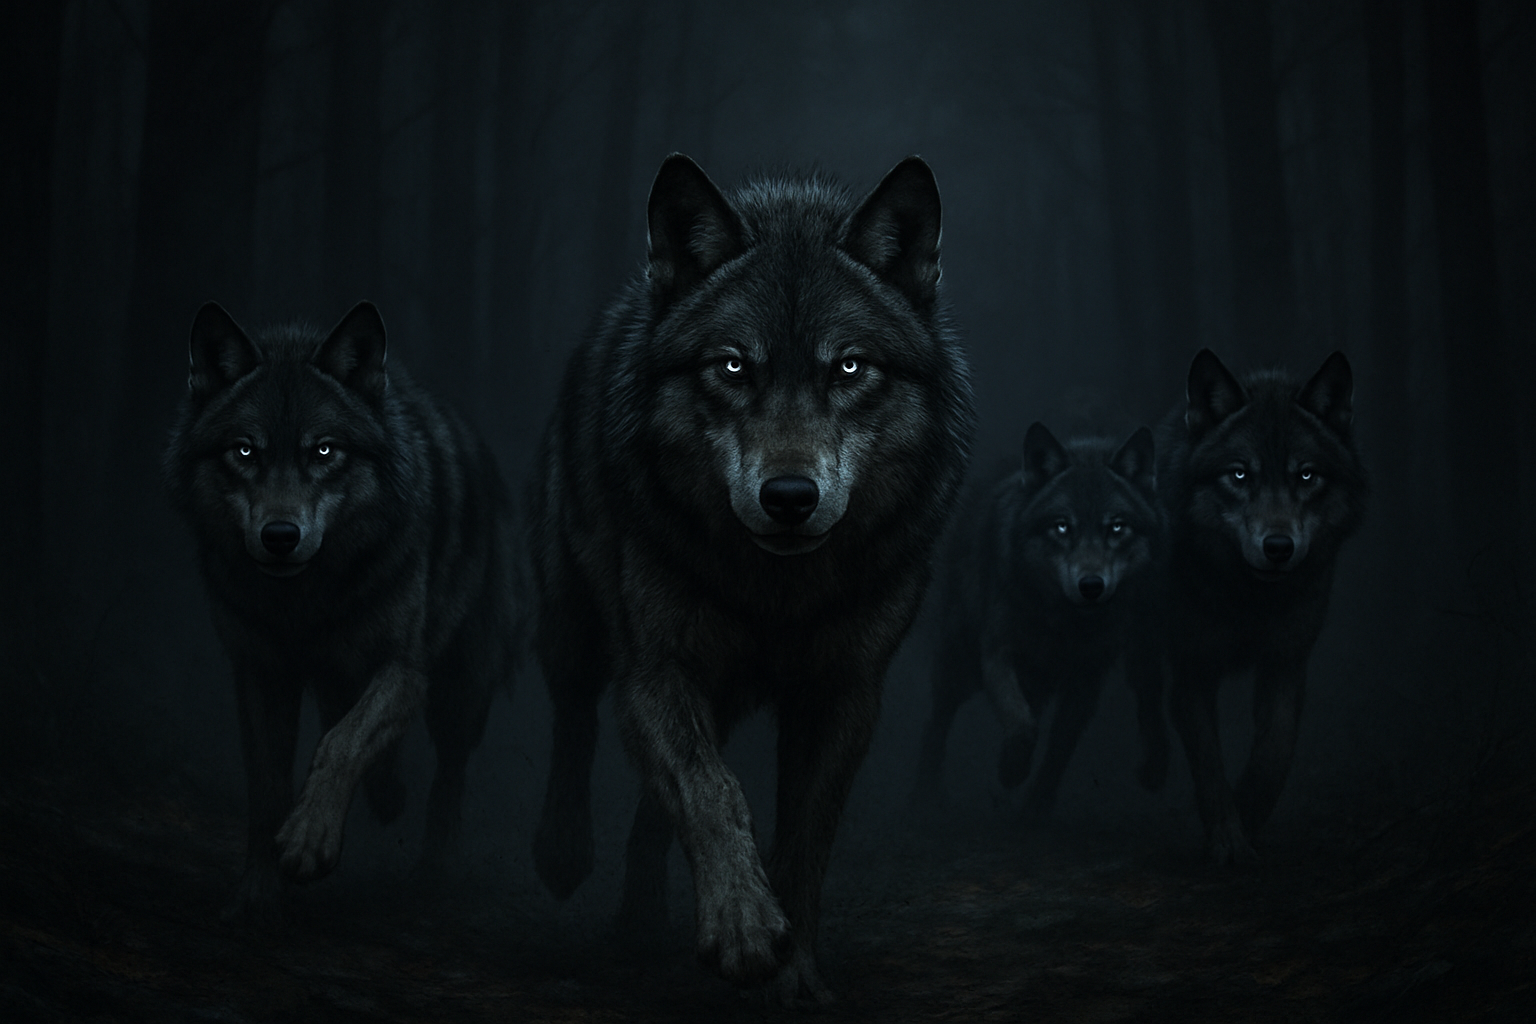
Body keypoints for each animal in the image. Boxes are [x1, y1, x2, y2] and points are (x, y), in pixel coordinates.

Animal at [164, 301, 523, 925]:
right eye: (245, 450)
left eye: (324, 450)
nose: (280, 536)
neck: (306, 602)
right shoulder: (260, 674)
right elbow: (268, 784)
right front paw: (256, 894)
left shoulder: (403, 670)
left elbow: (343, 743)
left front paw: (309, 840)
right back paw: (387, 795)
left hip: (460, 691)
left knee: (447, 777)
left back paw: (430, 875)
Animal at [528, 154, 974, 1004]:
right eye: (733, 366)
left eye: (849, 367)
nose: (790, 497)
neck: (776, 593)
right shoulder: (658, 671)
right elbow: (712, 791)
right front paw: (742, 928)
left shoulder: (843, 694)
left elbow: (803, 839)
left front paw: (794, 977)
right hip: (575, 621)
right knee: (573, 715)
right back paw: (562, 853)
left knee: (649, 810)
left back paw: (640, 921)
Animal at [916, 423, 1168, 817]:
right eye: (1062, 527)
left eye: (1117, 528)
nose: (1091, 586)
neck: (1064, 624)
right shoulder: (997, 652)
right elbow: (1022, 724)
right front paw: (1010, 771)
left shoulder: (1088, 676)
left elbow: (1059, 745)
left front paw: (1037, 804)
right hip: (960, 665)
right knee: (938, 718)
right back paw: (924, 794)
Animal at [1153, 348, 1365, 865]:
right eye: (1239, 473)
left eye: (1306, 475)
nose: (1278, 547)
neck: (1249, 599)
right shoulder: (1192, 671)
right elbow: (1208, 762)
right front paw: (1228, 838)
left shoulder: (1286, 663)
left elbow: (1274, 752)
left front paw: (1247, 815)